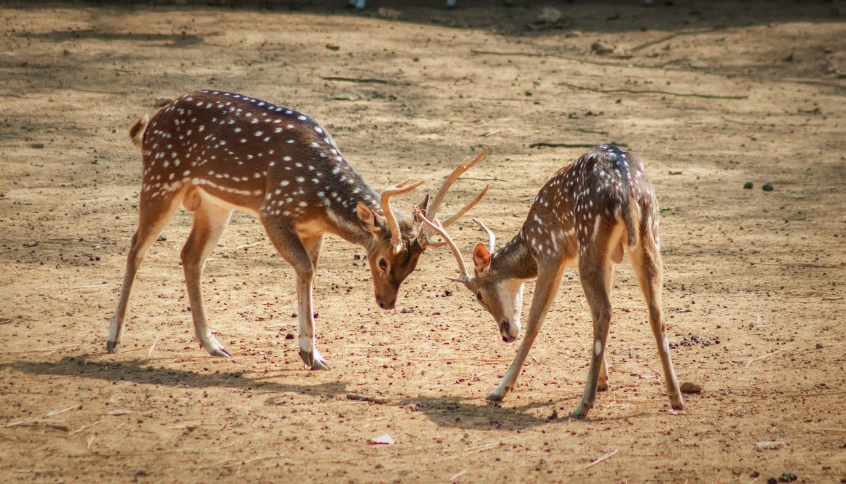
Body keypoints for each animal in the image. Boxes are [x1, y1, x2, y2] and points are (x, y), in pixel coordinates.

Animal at [107, 91, 490, 368]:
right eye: (382, 261)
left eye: (412, 267)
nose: (386, 303)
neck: (319, 199)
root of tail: (148, 126)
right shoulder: (273, 210)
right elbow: (305, 269)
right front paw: (311, 353)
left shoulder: (312, 229)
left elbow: (308, 272)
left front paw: (311, 354)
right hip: (160, 177)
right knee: (136, 248)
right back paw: (113, 338)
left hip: (214, 204)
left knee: (190, 256)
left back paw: (213, 345)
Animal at [418, 145, 688, 420]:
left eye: (479, 295)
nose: (506, 334)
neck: (530, 243)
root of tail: (627, 194)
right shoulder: (606, 260)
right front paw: (604, 381)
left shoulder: (550, 253)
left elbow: (535, 321)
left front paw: (499, 390)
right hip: (649, 234)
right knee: (654, 310)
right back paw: (675, 397)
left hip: (590, 239)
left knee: (604, 310)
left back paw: (582, 405)